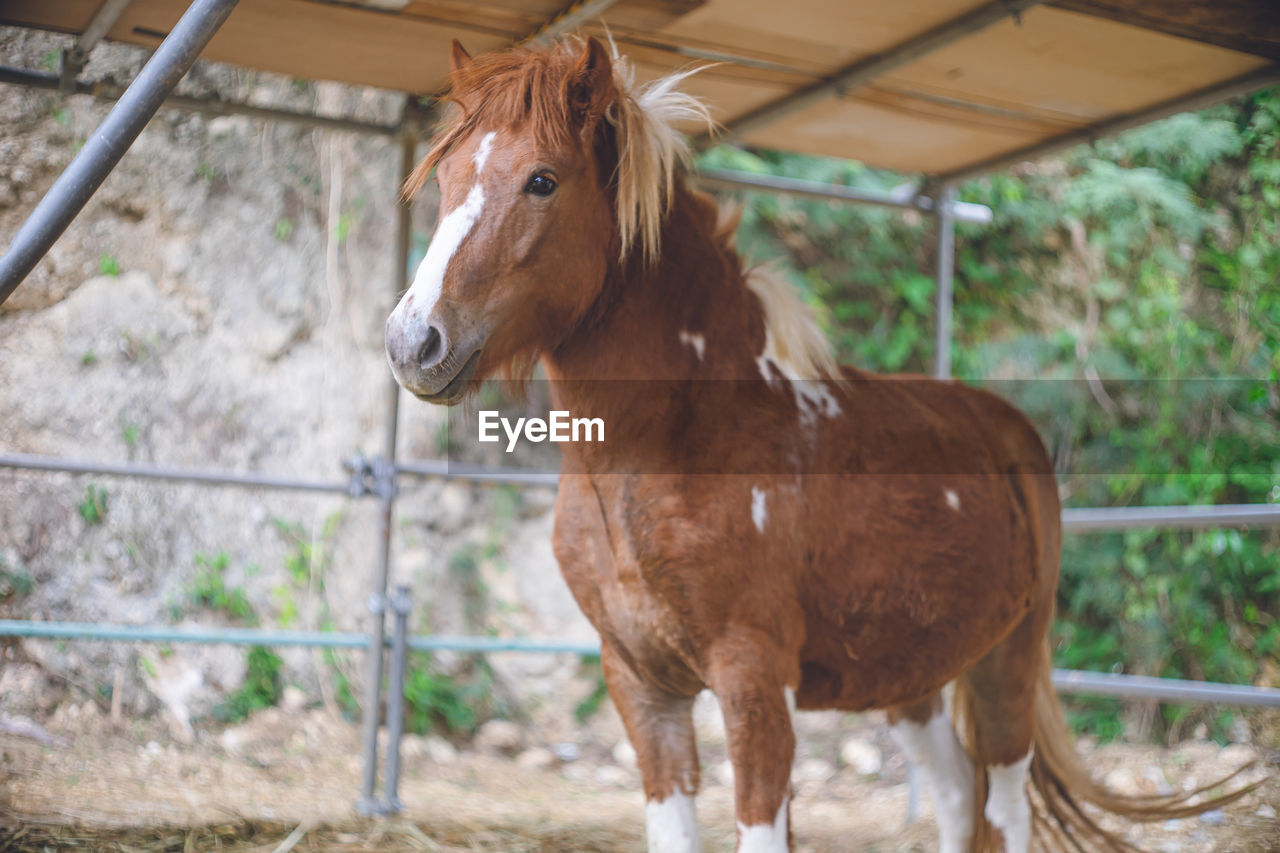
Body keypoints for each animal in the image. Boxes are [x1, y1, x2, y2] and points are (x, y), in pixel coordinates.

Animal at [381, 34, 1259, 850]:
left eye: (542, 180)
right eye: (446, 175)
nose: (412, 342)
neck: (666, 448)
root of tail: (1013, 433)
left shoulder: (753, 681)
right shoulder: (642, 687)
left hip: (1007, 659)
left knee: (1004, 805)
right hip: (913, 673)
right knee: (954, 790)